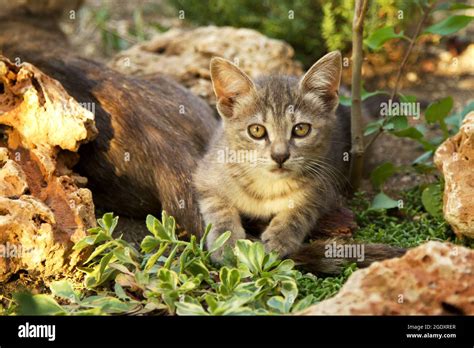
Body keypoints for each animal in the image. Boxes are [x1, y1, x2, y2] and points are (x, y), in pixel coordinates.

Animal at [193, 50, 352, 260]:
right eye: (256, 130)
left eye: (301, 129)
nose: (280, 155)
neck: (268, 187)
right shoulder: (205, 176)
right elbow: (218, 206)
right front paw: (225, 241)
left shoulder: (325, 187)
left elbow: (302, 208)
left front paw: (281, 236)